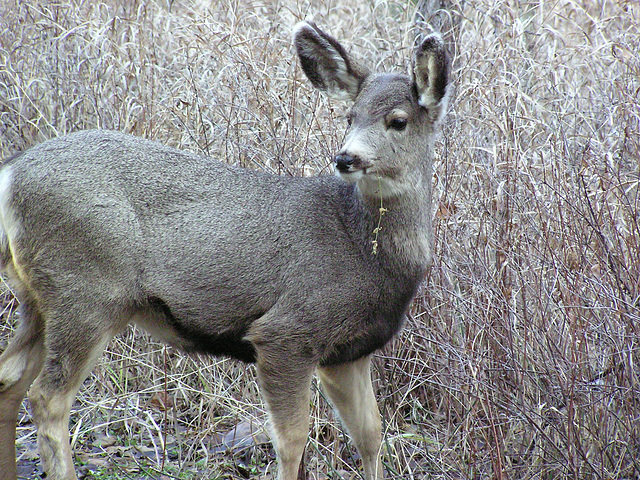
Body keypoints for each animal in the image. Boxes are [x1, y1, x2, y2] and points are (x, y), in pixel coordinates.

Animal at [0, 21, 450, 480]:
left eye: (398, 121)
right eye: (349, 116)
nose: (346, 158)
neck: (362, 249)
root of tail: (11, 173)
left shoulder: (349, 352)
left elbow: (371, 434)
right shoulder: (288, 331)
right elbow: (292, 440)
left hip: (38, 297)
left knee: (9, 380)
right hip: (86, 291)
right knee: (47, 399)